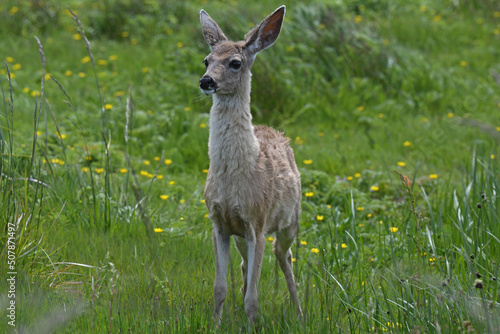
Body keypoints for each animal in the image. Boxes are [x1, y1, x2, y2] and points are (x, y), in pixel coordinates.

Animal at [200, 4, 302, 326]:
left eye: (235, 62)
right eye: (207, 60)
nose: (206, 81)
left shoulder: (257, 221)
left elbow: (253, 299)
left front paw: (252, 325)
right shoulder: (219, 222)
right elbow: (219, 288)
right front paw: (216, 325)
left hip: (290, 221)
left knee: (285, 257)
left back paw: (300, 312)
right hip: (242, 236)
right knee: (246, 266)